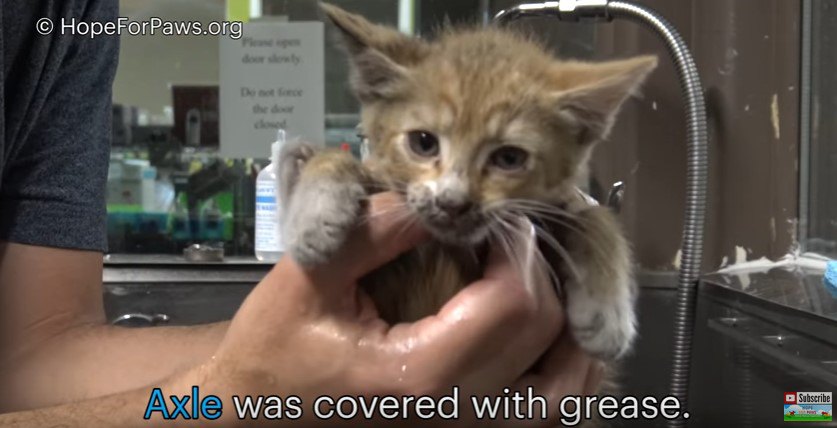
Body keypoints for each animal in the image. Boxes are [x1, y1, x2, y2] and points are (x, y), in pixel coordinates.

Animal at [284, 3, 656, 364]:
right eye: (423, 142)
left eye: (509, 158)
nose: (452, 201)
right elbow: (339, 160)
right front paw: (313, 216)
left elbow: (595, 216)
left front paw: (608, 315)